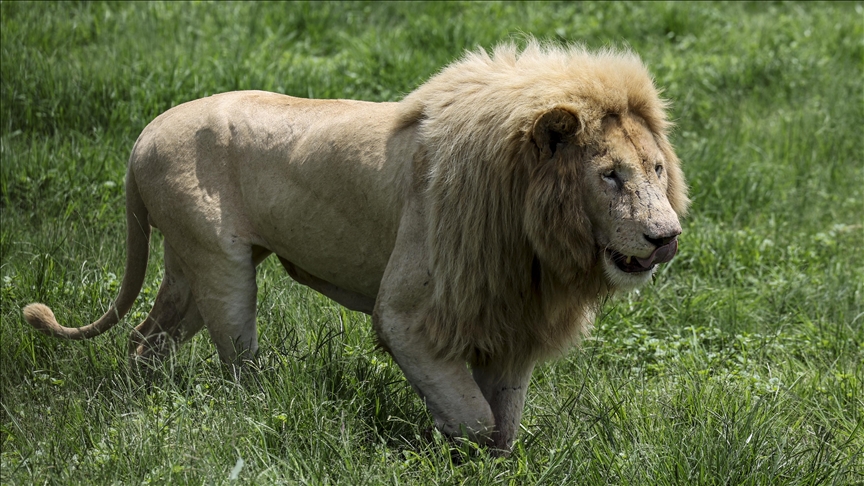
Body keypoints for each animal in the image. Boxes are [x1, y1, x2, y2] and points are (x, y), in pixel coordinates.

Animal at [22, 41, 688, 452]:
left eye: (656, 169)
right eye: (610, 175)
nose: (667, 238)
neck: (535, 241)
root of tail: (142, 136)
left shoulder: (509, 315)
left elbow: (505, 420)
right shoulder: (408, 315)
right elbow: (475, 417)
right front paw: (451, 447)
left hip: (187, 266)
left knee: (145, 340)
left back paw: (147, 400)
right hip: (220, 266)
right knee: (236, 362)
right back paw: (260, 410)